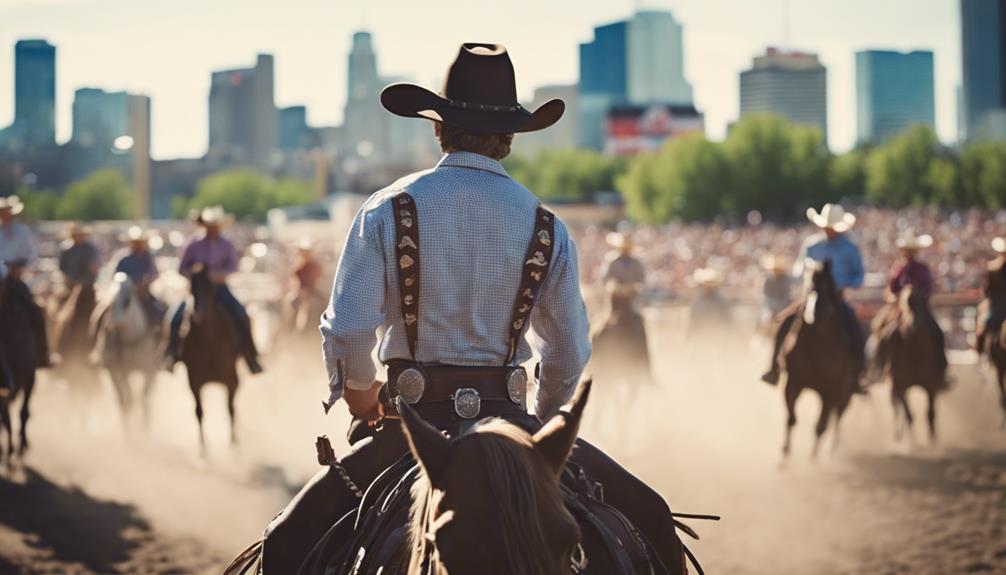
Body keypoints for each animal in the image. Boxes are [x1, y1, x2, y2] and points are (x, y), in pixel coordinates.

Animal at [92, 273, 160, 430]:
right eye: (110, 302)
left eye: (127, 301)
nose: (110, 326)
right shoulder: (117, 371)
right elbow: (127, 401)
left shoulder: (150, 370)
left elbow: (144, 399)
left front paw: (145, 428)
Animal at [776, 261, 857, 458]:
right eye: (808, 287)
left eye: (827, 289)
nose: (814, 313)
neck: (817, 346)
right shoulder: (793, 383)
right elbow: (792, 418)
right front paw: (785, 454)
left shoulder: (830, 391)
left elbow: (820, 427)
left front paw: (813, 459)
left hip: (844, 394)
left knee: (836, 419)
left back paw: (833, 448)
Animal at [877, 285, 945, 442]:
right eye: (905, 304)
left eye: (922, 302)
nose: (913, 325)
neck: (915, 353)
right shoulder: (900, 385)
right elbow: (909, 415)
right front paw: (912, 443)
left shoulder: (931, 385)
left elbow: (930, 413)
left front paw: (933, 441)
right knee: (897, 408)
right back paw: (898, 433)